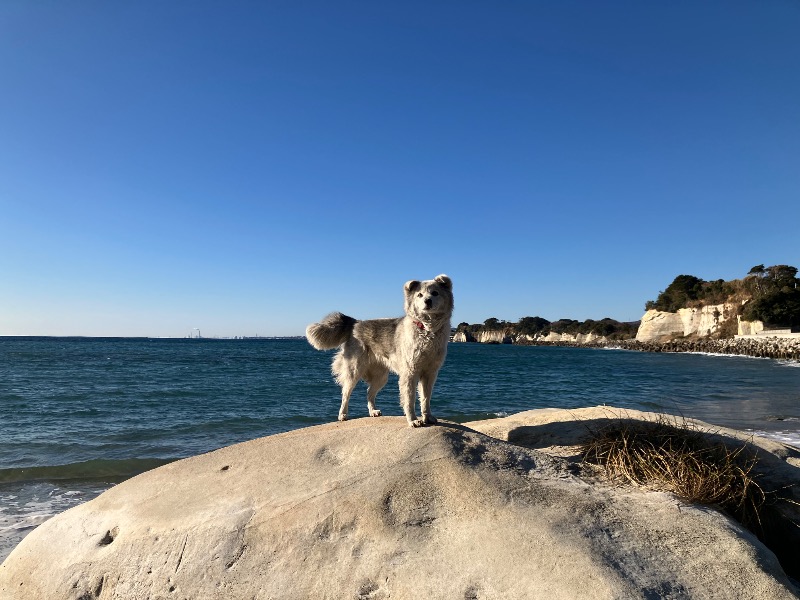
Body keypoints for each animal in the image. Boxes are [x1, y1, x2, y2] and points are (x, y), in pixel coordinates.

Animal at [306, 276, 454, 426]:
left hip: (381, 376)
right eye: (419, 295)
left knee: (369, 392)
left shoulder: (430, 373)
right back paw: (343, 414)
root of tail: (356, 323)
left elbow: (425, 398)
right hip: (354, 370)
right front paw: (412, 420)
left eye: (435, 293)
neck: (427, 330)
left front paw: (427, 417)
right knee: (345, 393)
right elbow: (409, 399)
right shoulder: (410, 373)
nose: (427, 301)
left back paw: (373, 411)